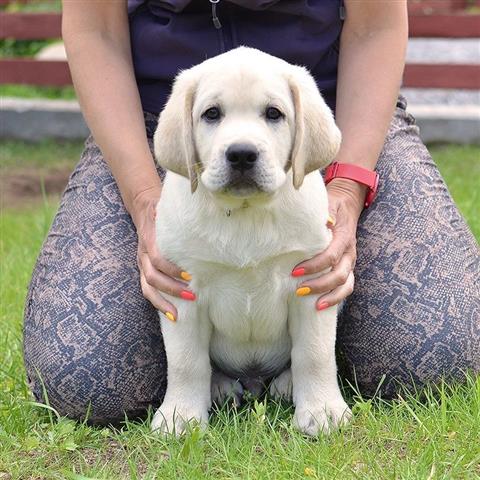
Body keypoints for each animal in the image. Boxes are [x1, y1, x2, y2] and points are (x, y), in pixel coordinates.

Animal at [154, 47, 352, 436]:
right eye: (211, 114)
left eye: (273, 113)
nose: (242, 154)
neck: (247, 214)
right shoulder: (182, 292)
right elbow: (185, 361)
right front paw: (179, 417)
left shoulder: (312, 285)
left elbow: (314, 354)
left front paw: (322, 411)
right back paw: (219, 387)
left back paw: (287, 385)